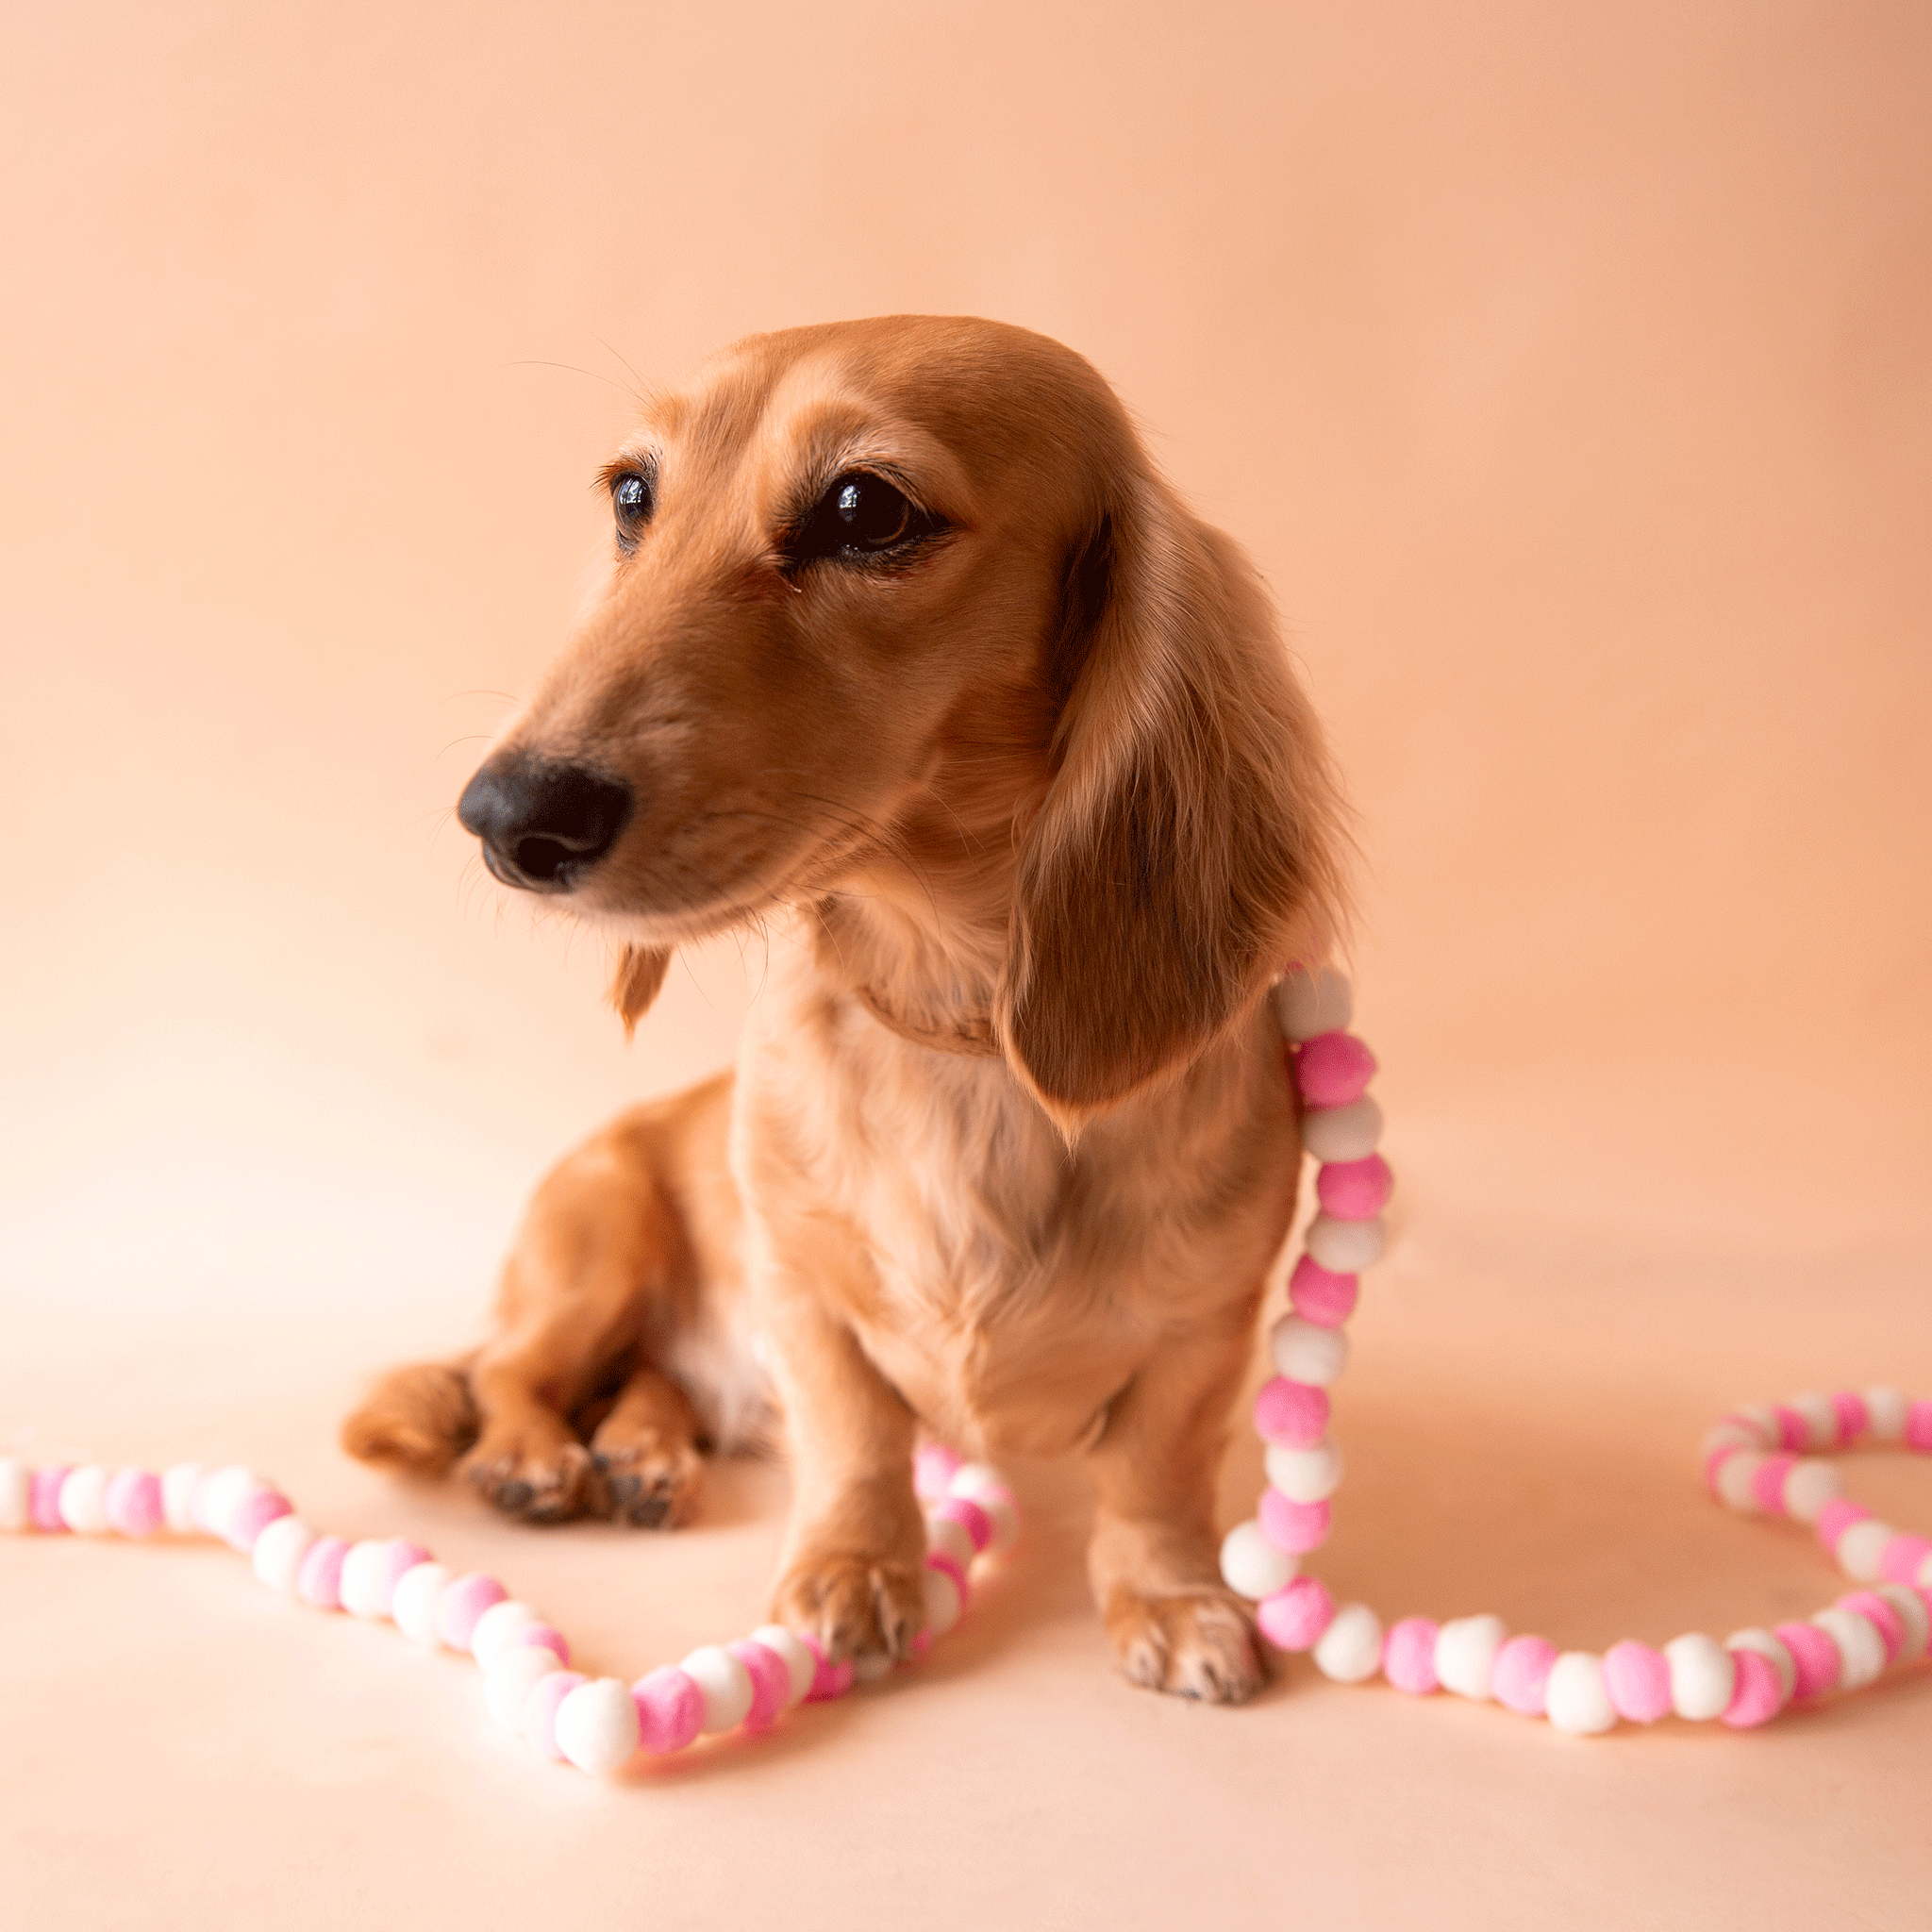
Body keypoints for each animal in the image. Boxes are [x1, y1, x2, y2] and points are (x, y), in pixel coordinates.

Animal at [343, 320, 1344, 1707]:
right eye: (632, 494)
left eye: (866, 508)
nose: (504, 818)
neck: (963, 1040)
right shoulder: (801, 1297)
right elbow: (859, 1441)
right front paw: (855, 1571)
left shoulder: (1203, 1333)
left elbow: (1154, 1476)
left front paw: (1172, 1597)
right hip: (599, 1247)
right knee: (509, 1369)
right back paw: (539, 1457)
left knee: (642, 1386)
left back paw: (643, 1456)